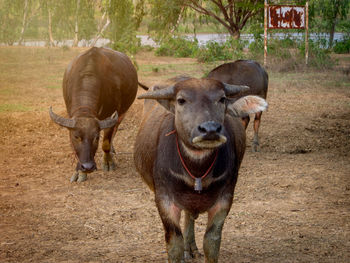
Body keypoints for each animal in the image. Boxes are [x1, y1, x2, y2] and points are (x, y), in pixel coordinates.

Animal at [49, 47, 139, 183]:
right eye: (76, 137)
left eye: (96, 137)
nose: (88, 167)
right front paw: (79, 172)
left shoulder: (111, 116)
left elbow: (106, 142)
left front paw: (108, 162)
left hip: (123, 113)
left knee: (115, 130)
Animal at [134, 77, 268, 262]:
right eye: (181, 100)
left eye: (222, 99)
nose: (210, 129)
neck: (196, 172)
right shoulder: (164, 199)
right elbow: (174, 244)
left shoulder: (225, 199)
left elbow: (211, 241)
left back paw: (190, 247)